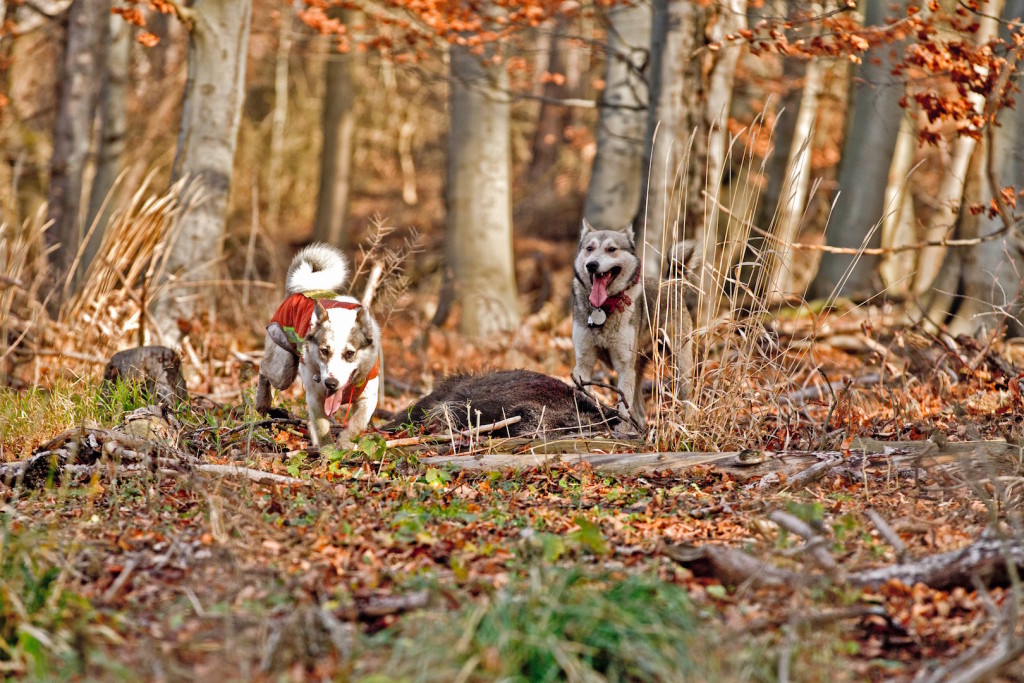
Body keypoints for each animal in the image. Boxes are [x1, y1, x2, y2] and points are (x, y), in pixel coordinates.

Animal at [253, 245, 382, 448]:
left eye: (350, 353)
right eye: (324, 351)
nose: (330, 383)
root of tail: (301, 289)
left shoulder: (368, 399)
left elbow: (356, 424)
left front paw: (344, 446)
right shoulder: (315, 397)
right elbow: (322, 428)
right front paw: (327, 450)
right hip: (284, 370)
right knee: (263, 368)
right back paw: (262, 402)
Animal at [569, 219, 696, 430]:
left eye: (612, 249)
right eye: (589, 248)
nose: (592, 265)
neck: (604, 308)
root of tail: (672, 284)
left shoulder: (624, 367)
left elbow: (623, 406)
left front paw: (621, 430)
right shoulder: (584, 362)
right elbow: (579, 394)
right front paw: (578, 425)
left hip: (679, 363)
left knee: (686, 395)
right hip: (637, 368)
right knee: (641, 409)